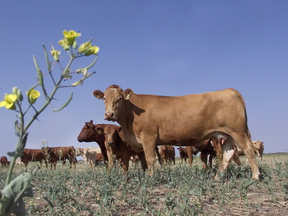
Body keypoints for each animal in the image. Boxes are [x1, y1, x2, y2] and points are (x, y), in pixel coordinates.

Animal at [93, 84, 260, 181]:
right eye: (104, 99)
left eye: (120, 99)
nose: (109, 114)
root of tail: (229, 90)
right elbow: (144, 161)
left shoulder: (149, 137)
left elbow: (150, 159)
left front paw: (150, 177)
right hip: (225, 134)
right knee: (228, 153)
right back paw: (218, 177)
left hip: (238, 131)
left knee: (248, 149)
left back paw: (255, 176)